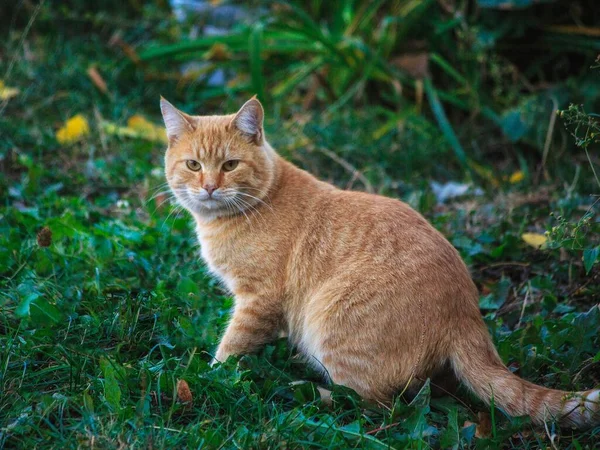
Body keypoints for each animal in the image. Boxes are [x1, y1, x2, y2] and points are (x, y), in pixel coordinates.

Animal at [161, 96, 600, 428]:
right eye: (193, 165)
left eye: (230, 165)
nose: (210, 187)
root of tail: (466, 314)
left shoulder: (258, 300)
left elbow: (231, 346)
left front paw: (211, 376)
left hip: (330, 322)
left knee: (372, 403)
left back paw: (303, 391)